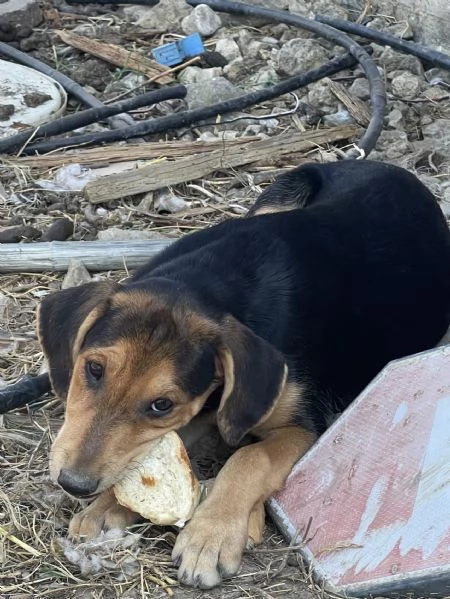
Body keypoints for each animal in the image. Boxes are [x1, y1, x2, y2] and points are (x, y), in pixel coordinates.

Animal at [37, 161, 450, 592]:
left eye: (162, 404)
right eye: (94, 369)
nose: (74, 484)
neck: (210, 283)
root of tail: (384, 166)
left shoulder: (301, 426)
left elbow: (250, 457)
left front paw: (211, 535)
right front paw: (106, 507)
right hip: (278, 195)